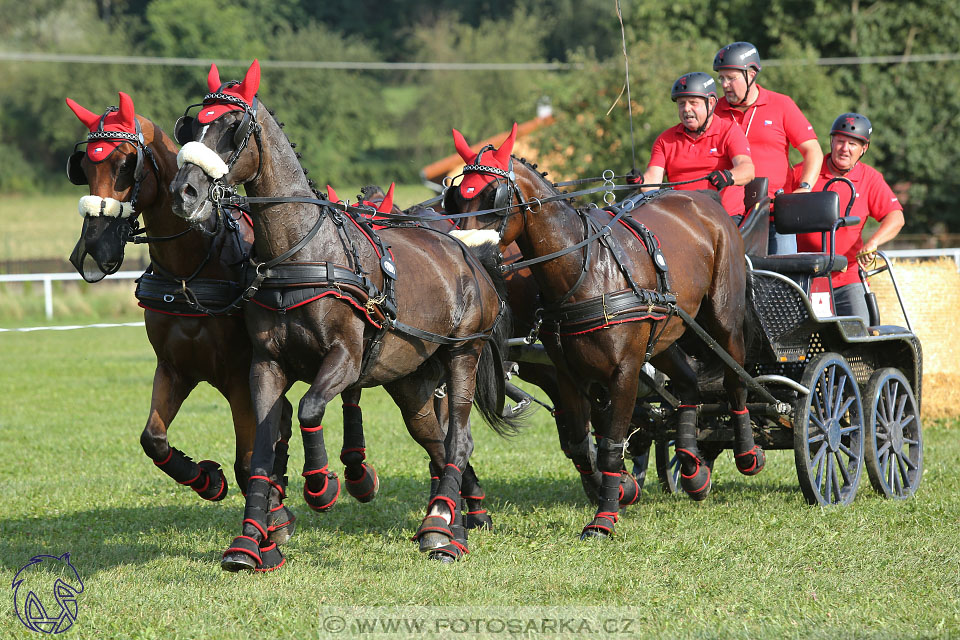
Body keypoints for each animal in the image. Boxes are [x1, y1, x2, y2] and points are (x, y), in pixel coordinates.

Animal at [62, 92, 308, 544]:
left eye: (126, 163)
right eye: (84, 166)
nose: (95, 247)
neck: (189, 272)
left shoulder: (239, 377)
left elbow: (248, 461)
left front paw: (273, 518)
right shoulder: (174, 368)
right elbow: (153, 439)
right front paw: (207, 480)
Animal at [168, 61, 520, 568]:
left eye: (233, 127)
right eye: (190, 125)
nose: (184, 192)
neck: (302, 253)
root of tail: (467, 253)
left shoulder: (345, 358)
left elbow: (311, 407)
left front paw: (322, 485)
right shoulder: (266, 365)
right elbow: (262, 446)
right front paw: (250, 541)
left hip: (462, 355)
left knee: (458, 439)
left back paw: (443, 528)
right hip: (410, 379)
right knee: (435, 438)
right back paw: (450, 521)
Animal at [442, 122, 764, 536]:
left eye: (492, 196)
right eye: (455, 198)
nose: (466, 255)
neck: (587, 272)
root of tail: (703, 200)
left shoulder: (624, 372)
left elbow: (610, 444)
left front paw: (605, 516)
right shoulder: (567, 374)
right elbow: (581, 443)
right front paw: (622, 489)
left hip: (722, 318)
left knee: (736, 378)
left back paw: (747, 453)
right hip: (665, 334)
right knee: (689, 383)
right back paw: (693, 468)